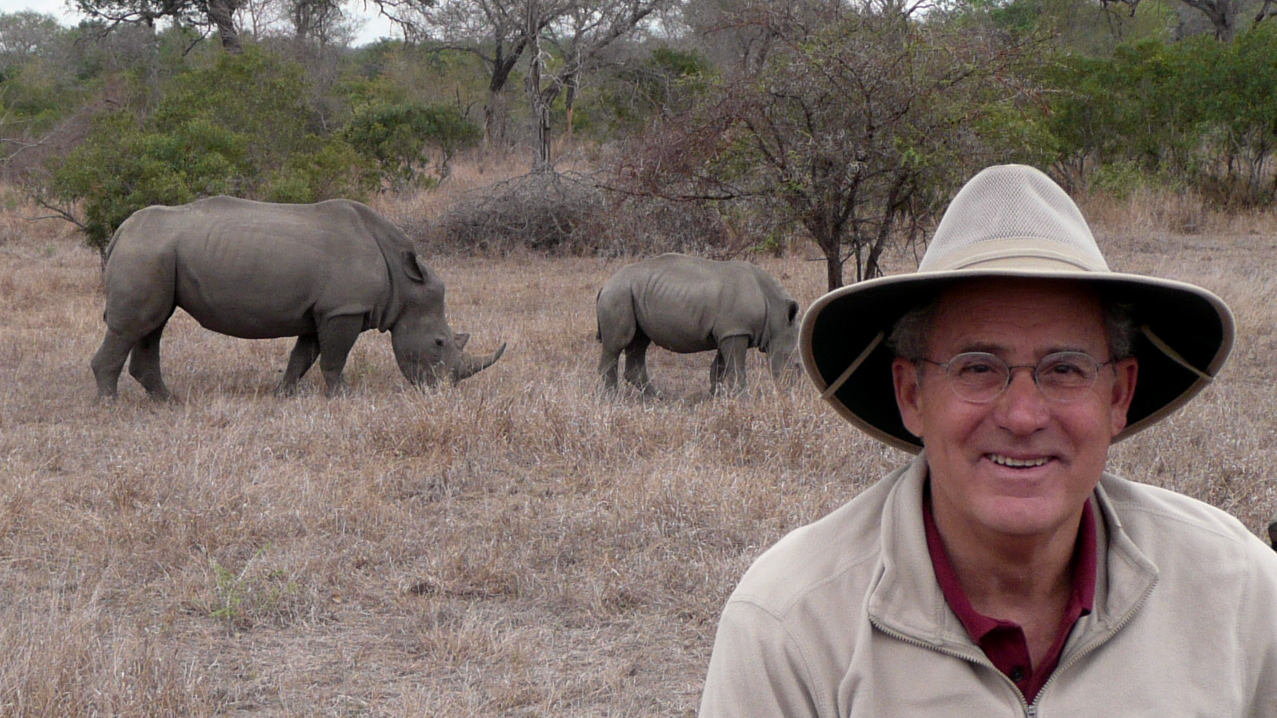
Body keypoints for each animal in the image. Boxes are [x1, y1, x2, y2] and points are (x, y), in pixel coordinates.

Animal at [91, 194, 503, 396]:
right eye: (439, 343)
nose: (442, 391)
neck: (405, 284)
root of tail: (121, 232)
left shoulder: (324, 311)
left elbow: (302, 357)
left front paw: (283, 395)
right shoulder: (344, 309)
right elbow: (334, 359)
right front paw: (343, 397)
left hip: (155, 253)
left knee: (153, 325)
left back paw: (169, 402)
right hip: (146, 251)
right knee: (133, 327)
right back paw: (111, 405)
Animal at [595, 251, 796, 393]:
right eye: (795, 365)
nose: (794, 391)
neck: (776, 313)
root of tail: (605, 285)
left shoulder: (728, 332)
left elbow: (720, 369)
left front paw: (716, 397)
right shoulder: (736, 331)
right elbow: (736, 369)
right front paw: (742, 398)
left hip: (632, 294)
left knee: (639, 342)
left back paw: (658, 398)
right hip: (618, 294)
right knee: (617, 344)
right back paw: (612, 398)